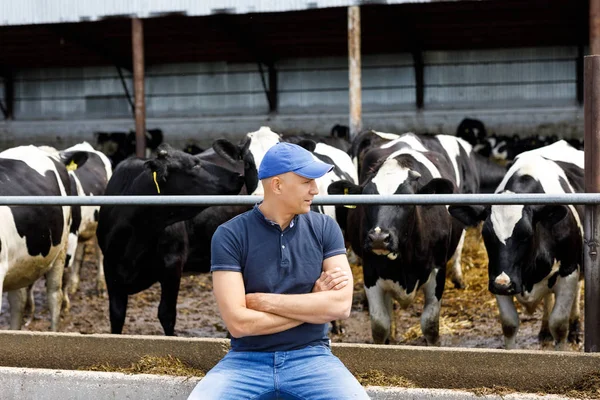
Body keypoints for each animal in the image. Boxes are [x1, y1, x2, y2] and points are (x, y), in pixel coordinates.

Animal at [96, 144, 244, 334]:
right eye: (195, 164)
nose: (238, 176)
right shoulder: (111, 268)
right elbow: (116, 314)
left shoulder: (173, 263)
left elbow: (166, 314)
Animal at [328, 146, 464, 344]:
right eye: (366, 198)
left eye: (408, 199)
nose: (379, 237)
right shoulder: (371, 272)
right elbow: (379, 325)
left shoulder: (438, 269)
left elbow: (430, 325)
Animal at [450, 141, 580, 350]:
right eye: (486, 234)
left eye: (526, 234)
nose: (504, 284)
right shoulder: (496, 275)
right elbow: (509, 324)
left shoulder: (569, 271)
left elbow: (559, 325)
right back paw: (544, 331)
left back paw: (575, 330)